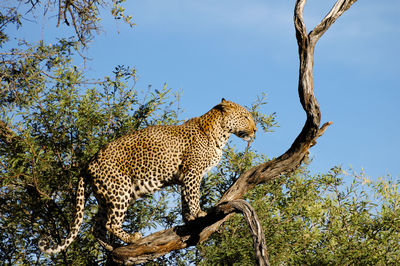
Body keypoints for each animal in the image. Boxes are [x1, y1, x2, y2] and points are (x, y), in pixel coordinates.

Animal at [37, 97, 256, 254]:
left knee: (96, 227)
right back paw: (132, 238)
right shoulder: (193, 172)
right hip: (120, 190)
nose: (255, 130)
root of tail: (88, 162)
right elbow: (193, 196)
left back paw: (113, 248)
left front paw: (188, 218)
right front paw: (198, 213)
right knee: (110, 223)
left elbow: (185, 199)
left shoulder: (185, 176)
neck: (221, 133)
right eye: (246, 117)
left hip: (106, 196)